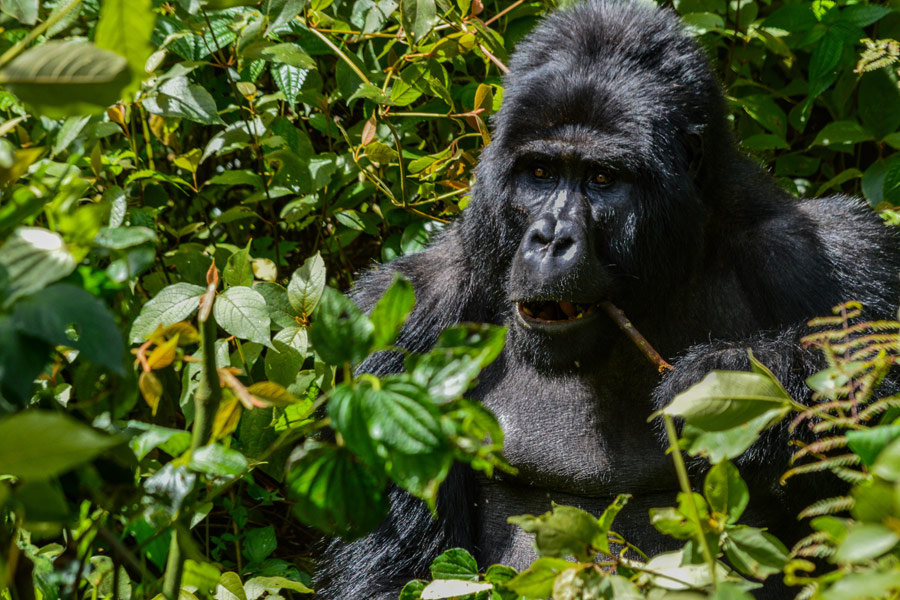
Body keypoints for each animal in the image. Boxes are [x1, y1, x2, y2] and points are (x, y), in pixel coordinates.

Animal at [314, 0, 900, 596]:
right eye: (540, 172)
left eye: (601, 178)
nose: (551, 239)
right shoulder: (402, 319)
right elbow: (394, 571)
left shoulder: (842, 254)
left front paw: (738, 374)